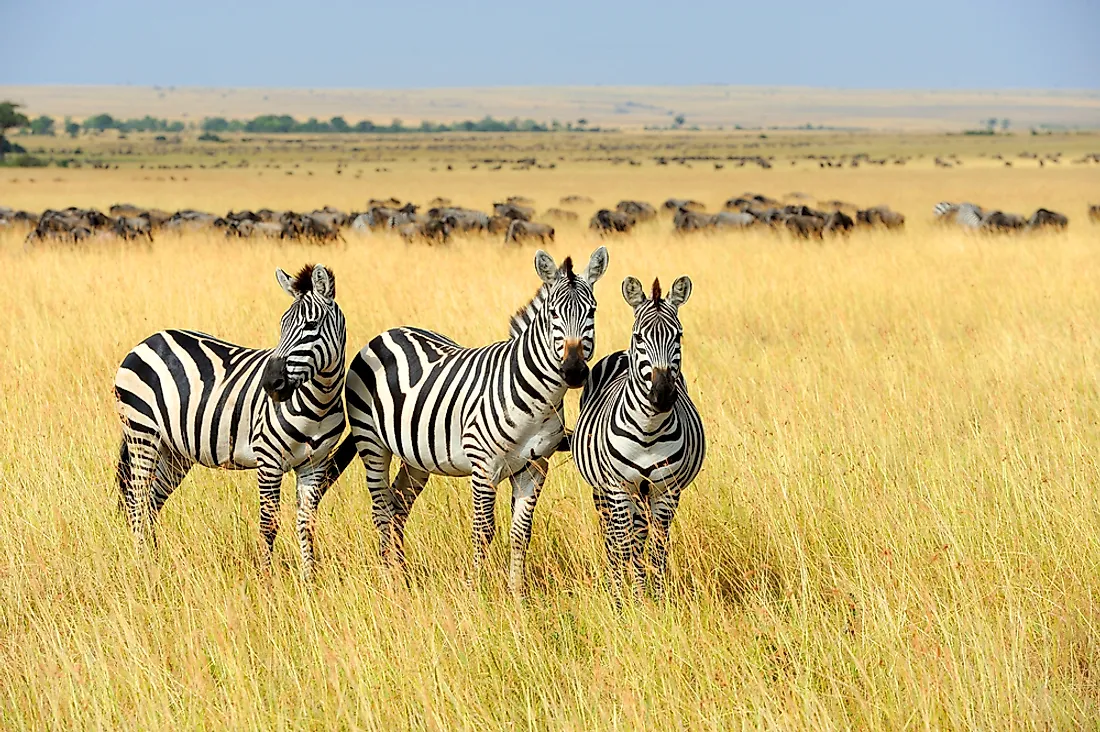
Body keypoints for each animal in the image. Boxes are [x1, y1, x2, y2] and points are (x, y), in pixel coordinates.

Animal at [113, 265, 345, 581]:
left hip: (174, 452)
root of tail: (148, 340)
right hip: (142, 434)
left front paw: (309, 582)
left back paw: (155, 563)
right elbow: (268, 524)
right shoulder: (269, 459)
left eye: (312, 325)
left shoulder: (315, 463)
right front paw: (266, 580)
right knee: (137, 502)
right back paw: (142, 568)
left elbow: (307, 525)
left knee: (151, 503)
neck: (319, 402)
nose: (271, 383)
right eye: (282, 325)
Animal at [321, 245, 616, 594]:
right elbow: (483, 530)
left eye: (593, 312)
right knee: (381, 508)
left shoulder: (535, 468)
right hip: (372, 443)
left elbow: (521, 533)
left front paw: (516, 595)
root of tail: (388, 332)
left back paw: (401, 576)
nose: (573, 371)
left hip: (417, 457)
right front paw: (476, 591)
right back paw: (388, 580)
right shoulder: (483, 466)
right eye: (553, 314)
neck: (538, 399)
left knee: (398, 506)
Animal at [567, 274, 704, 598]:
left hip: (644, 492)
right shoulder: (618, 487)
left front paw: (656, 597)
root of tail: (621, 352)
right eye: (640, 337)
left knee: (641, 537)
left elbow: (657, 548)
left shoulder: (667, 489)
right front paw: (624, 598)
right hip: (605, 491)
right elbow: (623, 544)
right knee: (614, 538)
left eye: (678, 336)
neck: (648, 430)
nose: (663, 395)